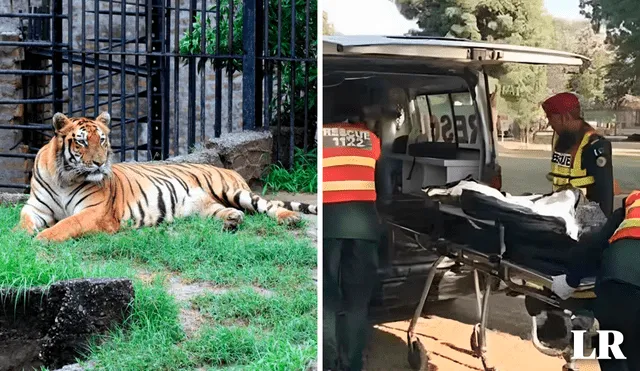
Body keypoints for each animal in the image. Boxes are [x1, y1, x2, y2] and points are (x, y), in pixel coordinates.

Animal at [18, 112, 320, 243]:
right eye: (81, 142)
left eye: (102, 140)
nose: (100, 163)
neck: (64, 177)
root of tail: (230, 169)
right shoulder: (35, 207)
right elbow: (22, 221)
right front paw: (20, 236)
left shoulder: (95, 212)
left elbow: (67, 224)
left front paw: (42, 238)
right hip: (203, 207)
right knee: (227, 211)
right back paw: (231, 220)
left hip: (235, 191)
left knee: (267, 205)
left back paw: (289, 218)